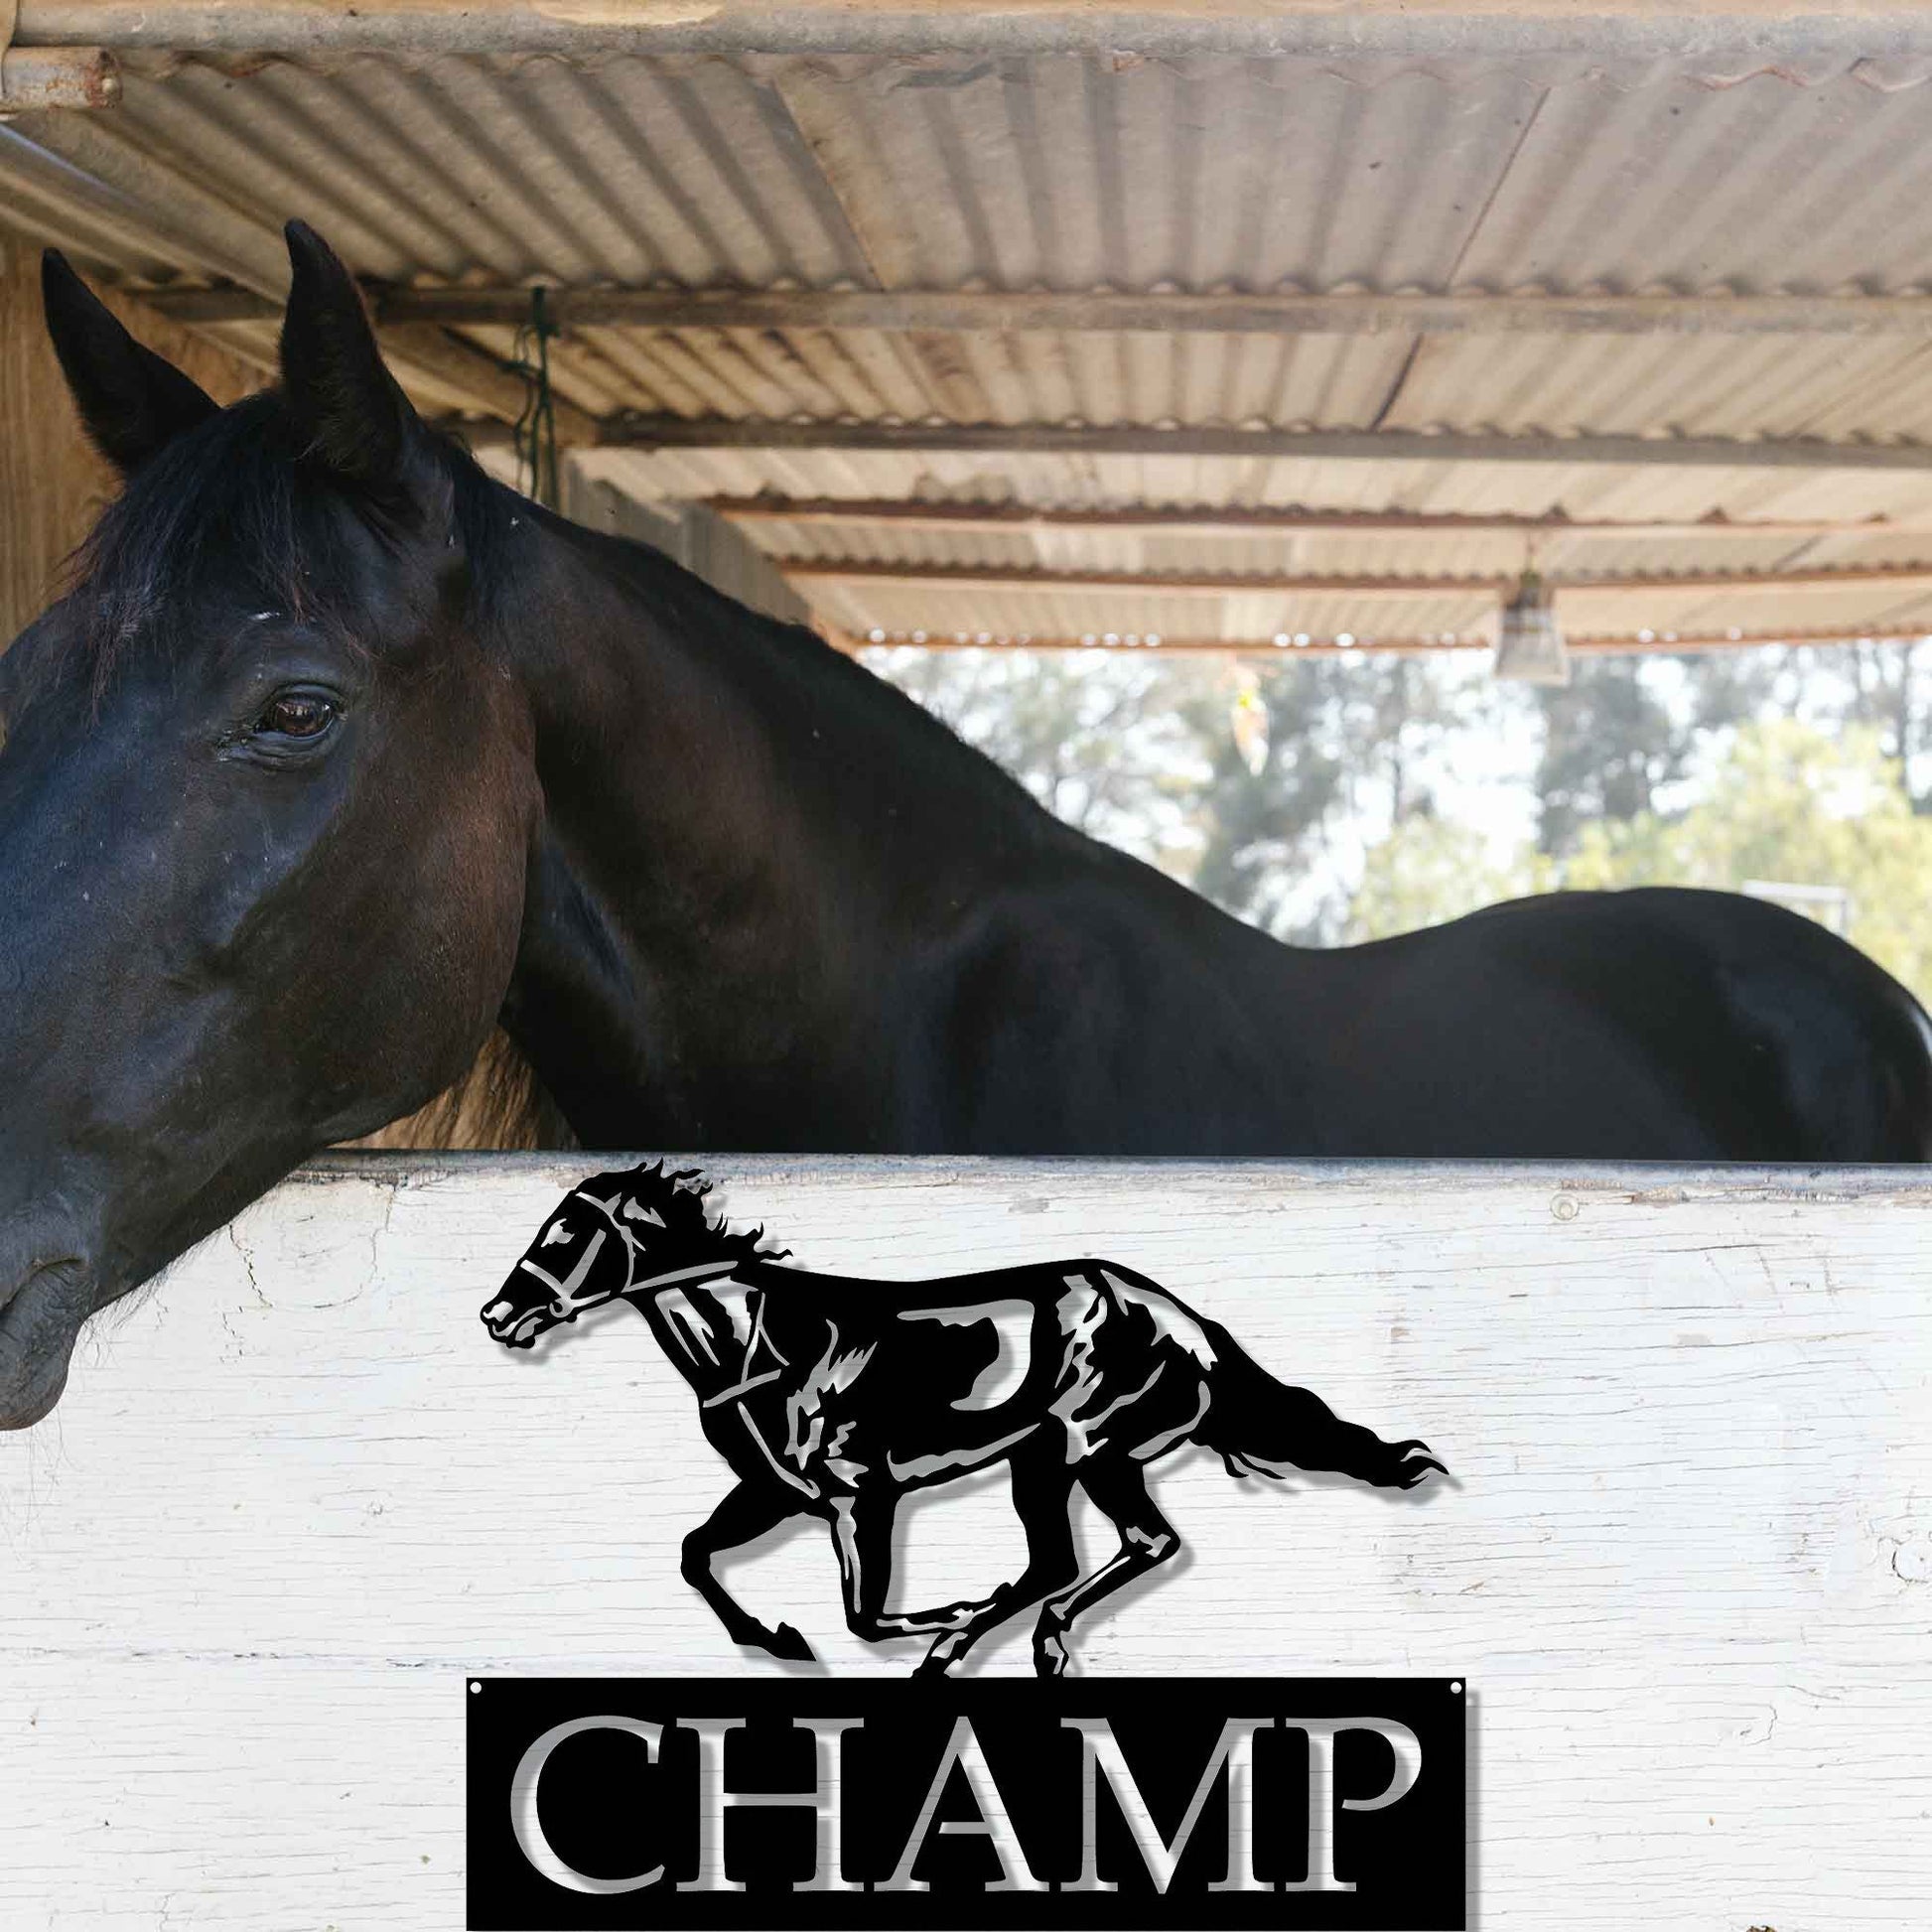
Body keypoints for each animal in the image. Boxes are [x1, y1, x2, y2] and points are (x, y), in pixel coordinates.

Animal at [480, 1163, 1443, 1676]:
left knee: (1106, 1551)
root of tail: (1186, 1324)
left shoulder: (857, 1497)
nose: (497, 1316)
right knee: (1090, 1557)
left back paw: (982, 1639)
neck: (759, 1347)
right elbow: (694, 1553)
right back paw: (1012, 1640)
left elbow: (865, 1615)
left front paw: (937, 1616)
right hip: (1059, 1460)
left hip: (1079, 1450)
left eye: (566, 1233)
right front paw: (778, 1639)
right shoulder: (776, 1492)